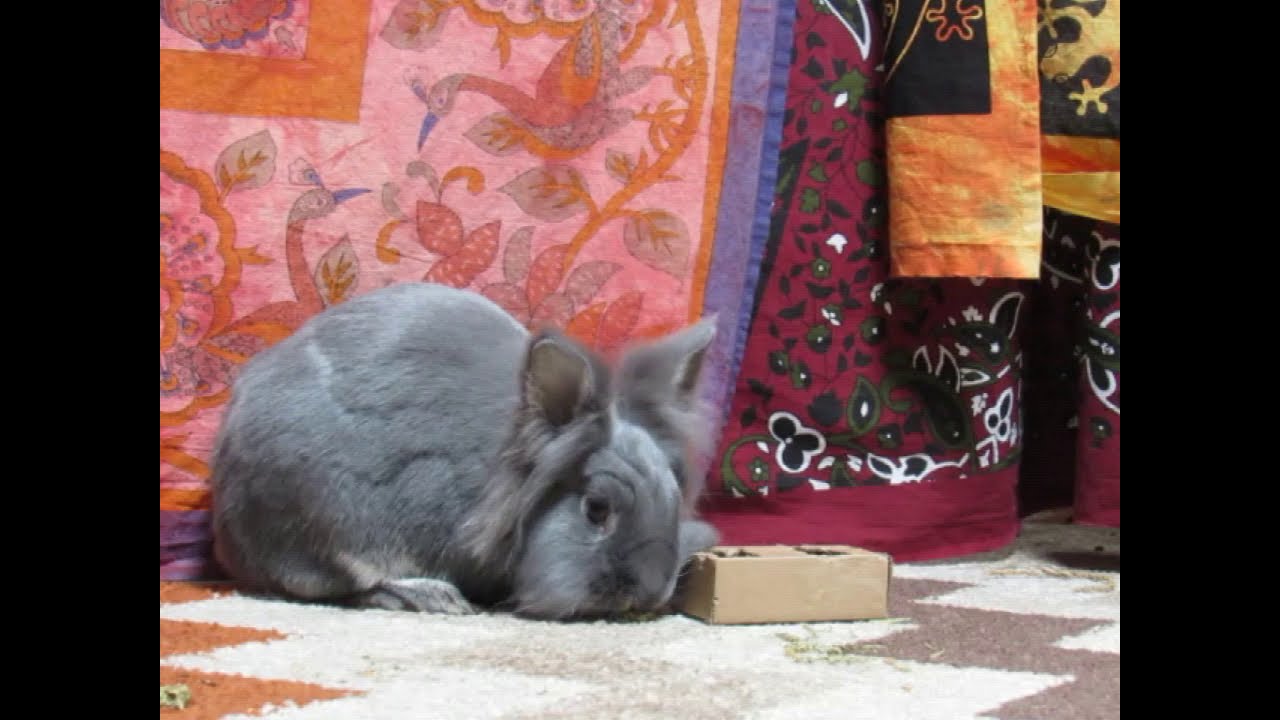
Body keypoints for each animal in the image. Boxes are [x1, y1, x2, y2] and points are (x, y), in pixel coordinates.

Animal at [209, 281, 721, 618]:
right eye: (596, 509)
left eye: (675, 497)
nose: (651, 593)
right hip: (318, 512)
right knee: (333, 585)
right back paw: (437, 598)